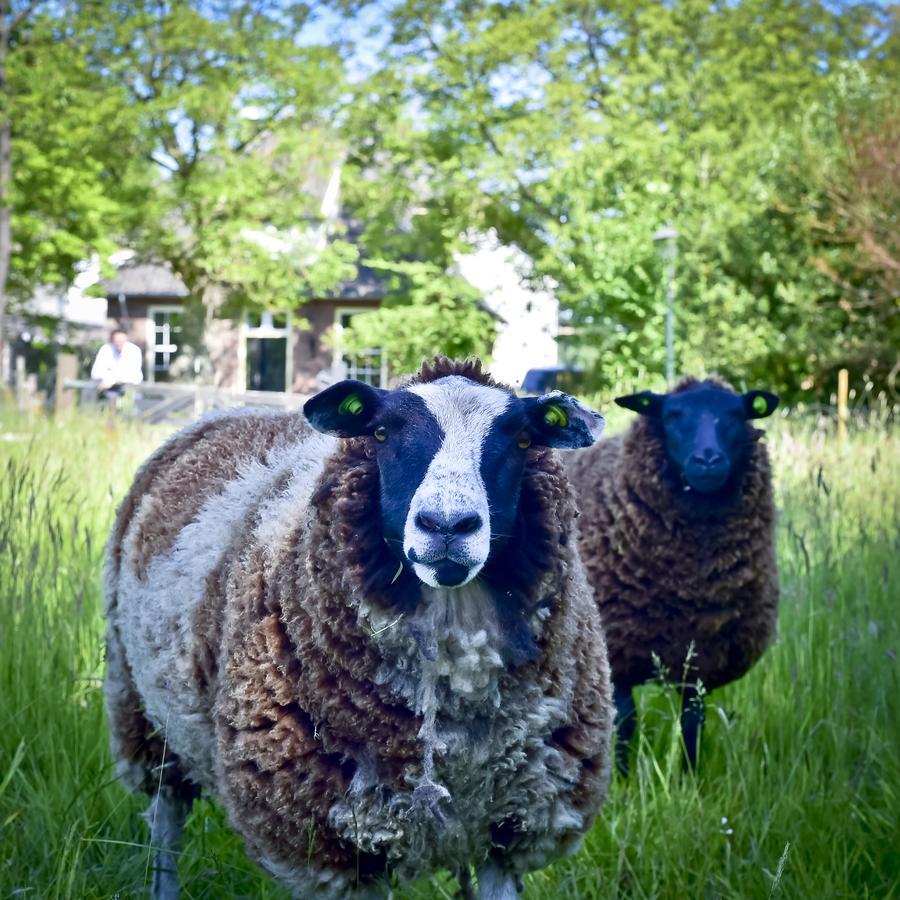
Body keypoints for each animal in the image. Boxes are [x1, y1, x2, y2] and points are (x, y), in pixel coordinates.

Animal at [103, 358, 612, 900]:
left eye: (522, 439)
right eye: (382, 432)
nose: (446, 525)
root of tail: (228, 411)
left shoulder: (516, 825)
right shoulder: (342, 845)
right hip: (141, 710)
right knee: (166, 816)